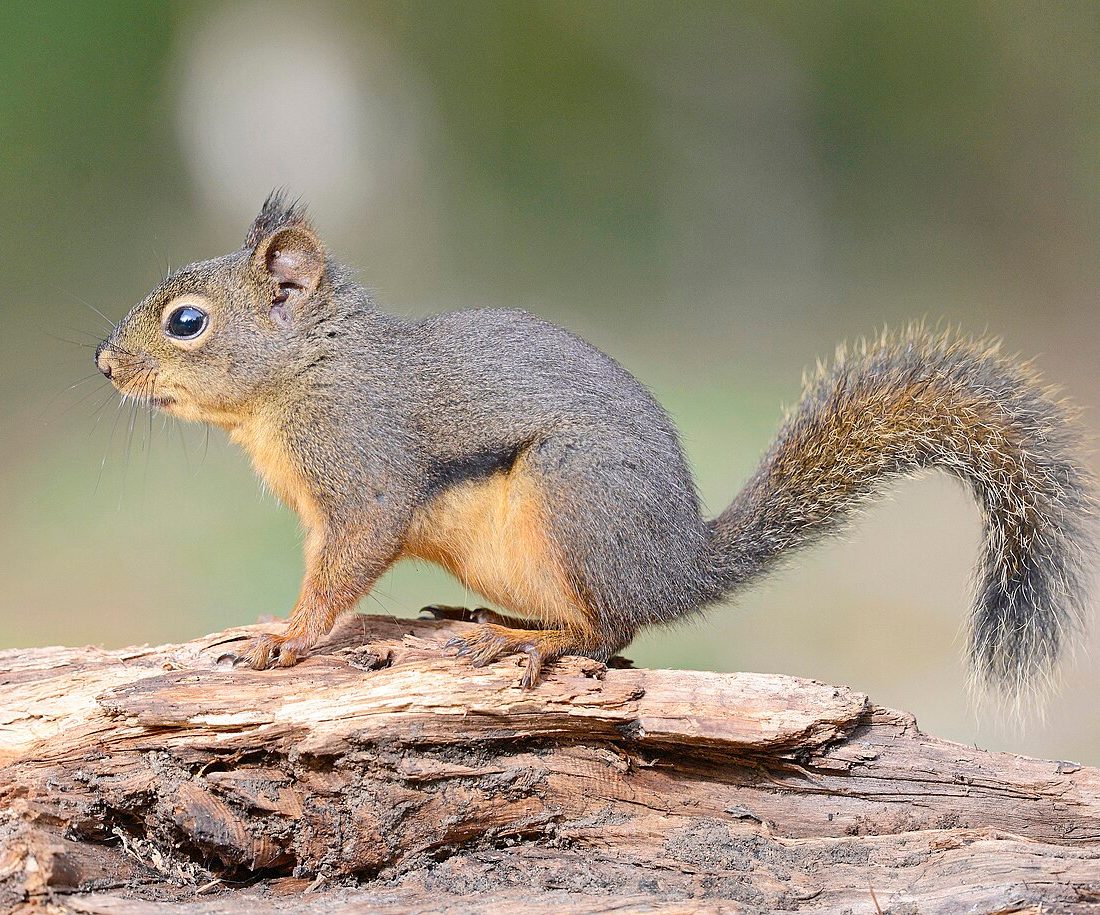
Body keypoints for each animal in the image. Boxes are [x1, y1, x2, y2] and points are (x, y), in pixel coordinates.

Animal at [94, 192, 1095, 701]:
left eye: (187, 322)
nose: (103, 363)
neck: (305, 372)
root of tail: (676, 567)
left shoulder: (363, 468)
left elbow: (346, 564)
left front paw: (286, 641)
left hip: (570, 497)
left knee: (611, 631)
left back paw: (532, 645)